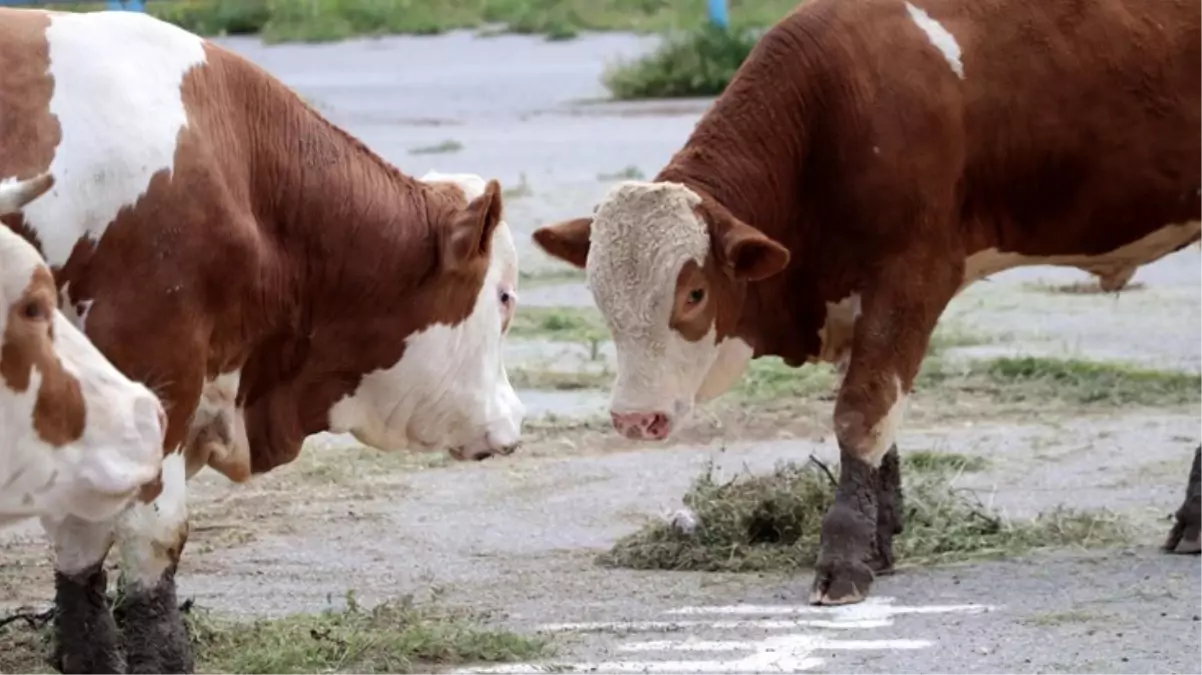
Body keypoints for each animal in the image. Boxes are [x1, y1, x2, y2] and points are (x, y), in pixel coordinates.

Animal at [536, 0, 1202, 605]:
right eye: (599, 294)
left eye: (694, 292)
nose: (634, 418)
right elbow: (876, 424)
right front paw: (880, 539)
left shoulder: (911, 278)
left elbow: (863, 412)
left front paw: (844, 553)